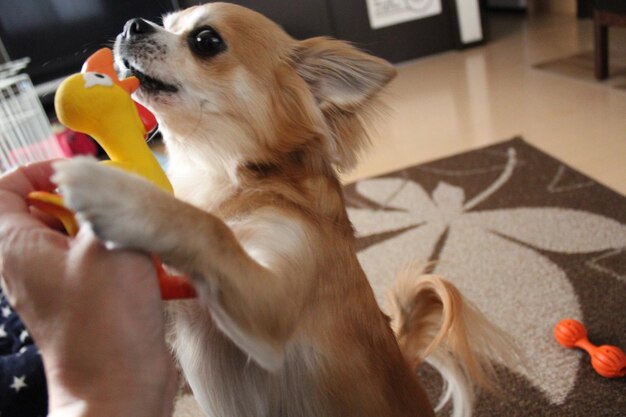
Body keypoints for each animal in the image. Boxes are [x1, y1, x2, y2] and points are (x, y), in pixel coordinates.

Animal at [52, 3, 512, 416]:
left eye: (206, 41)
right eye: (166, 22)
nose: (133, 23)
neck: (220, 174)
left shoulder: (267, 310)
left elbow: (206, 228)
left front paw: (117, 193)